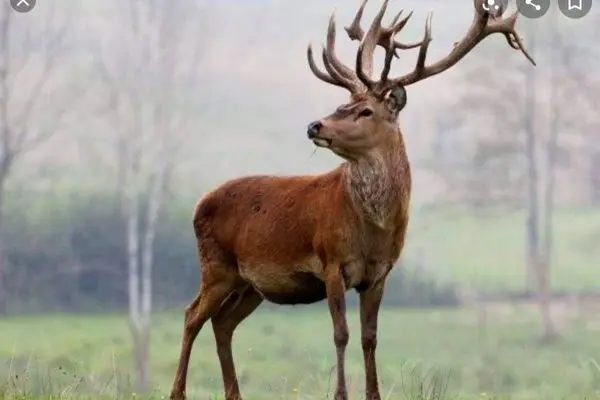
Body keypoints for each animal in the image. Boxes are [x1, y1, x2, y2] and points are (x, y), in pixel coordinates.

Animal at [170, 0, 536, 400]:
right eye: (343, 103)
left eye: (365, 110)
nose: (314, 125)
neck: (372, 231)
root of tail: (199, 204)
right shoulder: (331, 262)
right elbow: (341, 334)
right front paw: (340, 394)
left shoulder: (380, 273)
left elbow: (369, 337)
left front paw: (373, 393)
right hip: (215, 264)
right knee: (191, 315)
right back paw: (178, 392)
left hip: (249, 283)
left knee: (223, 322)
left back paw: (233, 394)